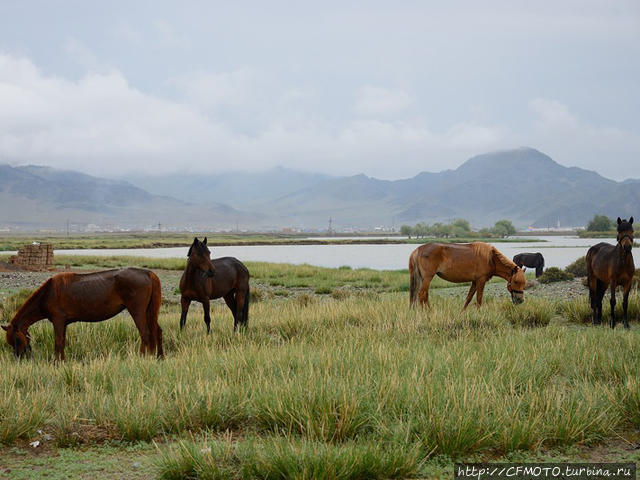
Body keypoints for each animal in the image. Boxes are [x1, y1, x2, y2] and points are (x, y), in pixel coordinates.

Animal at [3, 266, 162, 360]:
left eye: (16, 340)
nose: (19, 358)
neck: (48, 293)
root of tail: (147, 273)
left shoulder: (58, 321)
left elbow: (58, 342)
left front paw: (56, 363)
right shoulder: (63, 323)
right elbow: (62, 341)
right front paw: (62, 361)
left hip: (137, 312)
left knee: (145, 333)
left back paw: (142, 357)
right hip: (149, 312)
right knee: (157, 331)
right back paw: (159, 356)